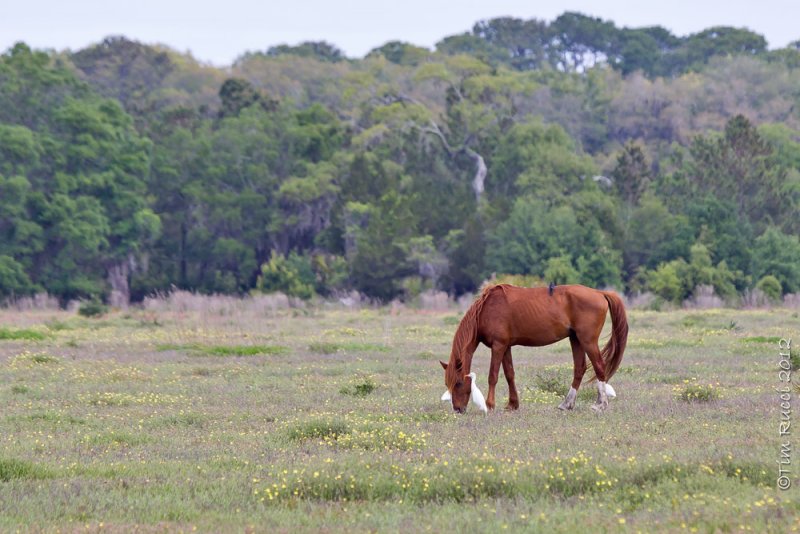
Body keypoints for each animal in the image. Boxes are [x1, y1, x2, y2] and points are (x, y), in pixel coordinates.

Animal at [440, 284, 628, 414]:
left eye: (458, 383)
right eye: (448, 384)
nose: (457, 409)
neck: (486, 310)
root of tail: (600, 293)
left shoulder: (498, 346)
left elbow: (493, 376)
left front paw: (490, 405)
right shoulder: (506, 347)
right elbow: (510, 374)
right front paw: (512, 404)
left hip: (588, 341)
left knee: (599, 367)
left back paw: (600, 404)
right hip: (575, 339)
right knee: (579, 369)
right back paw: (567, 404)